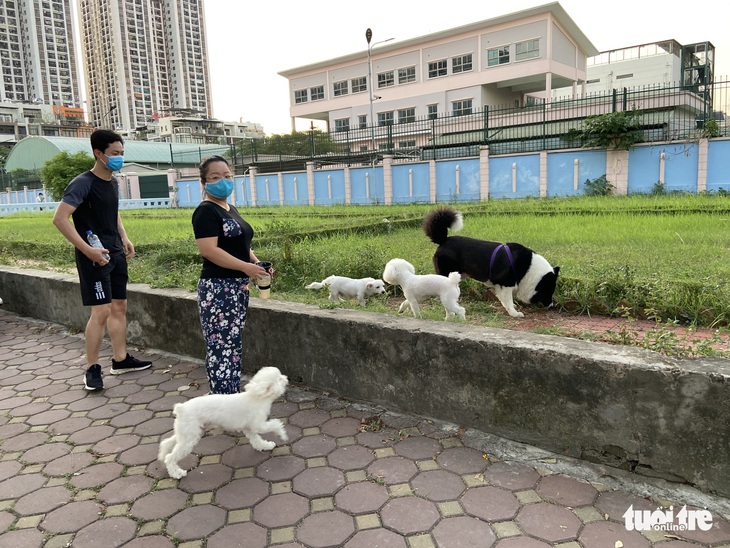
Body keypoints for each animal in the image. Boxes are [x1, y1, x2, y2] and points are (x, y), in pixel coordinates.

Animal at [158, 368, 288, 480]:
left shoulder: (249, 428)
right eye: (279, 378)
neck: (257, 396)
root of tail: (181, 408)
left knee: (167, 443)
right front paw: (282, 434)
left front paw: (265, 446)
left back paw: (163, 454)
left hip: (186, 433)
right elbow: (274, 425)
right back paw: (176, 473)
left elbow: (256, 440)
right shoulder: (258, 425)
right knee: (170, 458)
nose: (286, 378)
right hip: (188, 439)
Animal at [420, 206, 556, 316]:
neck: (529, 268)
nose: (552, 306)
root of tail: (443, 240)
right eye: (549, 290)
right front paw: (514, 313)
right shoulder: (506, 285)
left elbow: (506, 300)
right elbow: (508, 300)